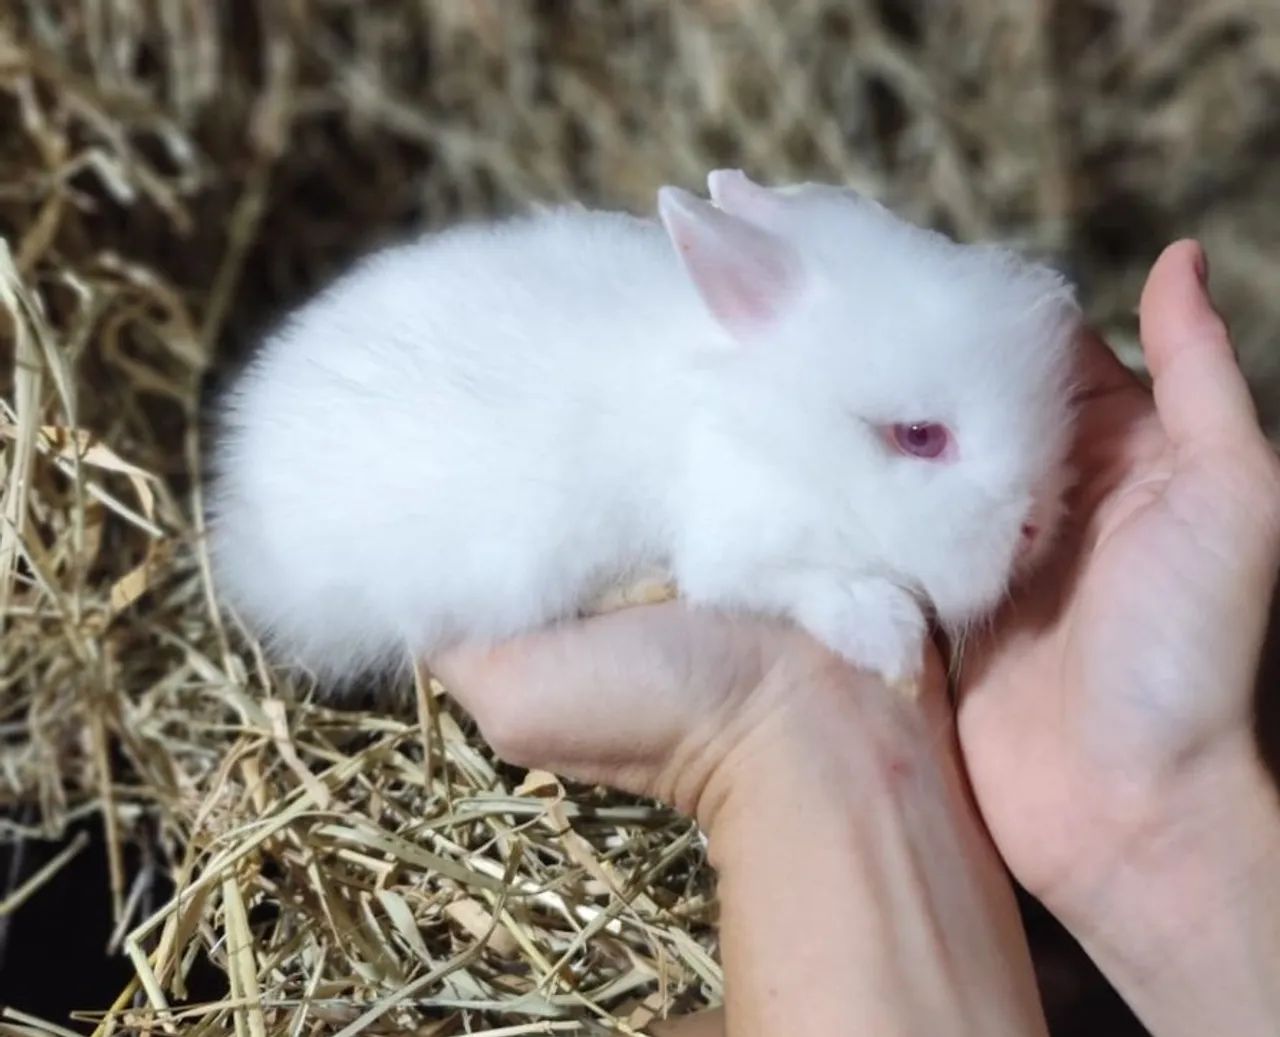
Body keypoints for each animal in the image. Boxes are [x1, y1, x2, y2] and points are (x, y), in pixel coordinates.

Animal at [210, 169, 1080, 689]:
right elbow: (794, 584)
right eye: (919, 436)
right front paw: (891, 641)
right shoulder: (738, 544)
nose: (1037, 528)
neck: (774, 425)